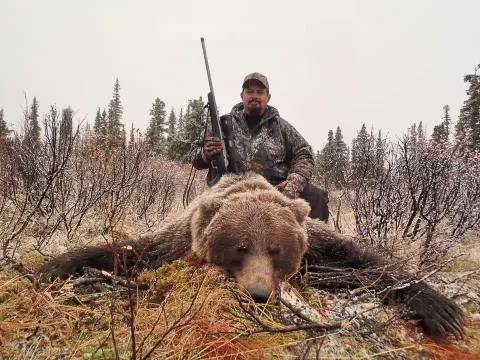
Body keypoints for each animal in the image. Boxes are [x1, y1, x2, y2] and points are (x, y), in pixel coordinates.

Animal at [36, 172, 464, 340]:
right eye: (239, 247)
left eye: (276, 249)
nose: (258, 294)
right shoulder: (178, 240)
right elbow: (132, 249)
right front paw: (52, 266)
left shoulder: (319, 242)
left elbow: (363, 257)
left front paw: (440, 307)